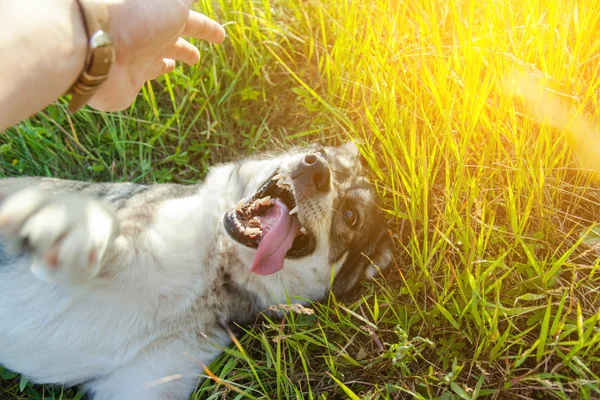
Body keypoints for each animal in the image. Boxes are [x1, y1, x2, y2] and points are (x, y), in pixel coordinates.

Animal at [0, 143, 394, 400]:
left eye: (351, 216)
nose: (316, 168)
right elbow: (104, 231)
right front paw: (67, 231)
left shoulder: (145, 380)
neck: (216, 272)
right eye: (324, 152)